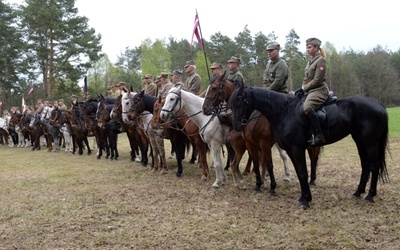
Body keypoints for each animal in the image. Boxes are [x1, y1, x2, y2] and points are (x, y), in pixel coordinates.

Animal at [230, 85, 390, 208]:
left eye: (240, 101)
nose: (237, 125)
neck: (285, 111)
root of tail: (377, 103)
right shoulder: (289, 150)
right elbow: (299, 172)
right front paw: (304, 197)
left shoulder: (296, 148)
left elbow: (302, 173)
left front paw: (305, 200)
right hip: (359, 140)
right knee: (365, 165)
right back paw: (358, 192)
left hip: (370, 142)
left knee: (374, 166)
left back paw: (370, 195)